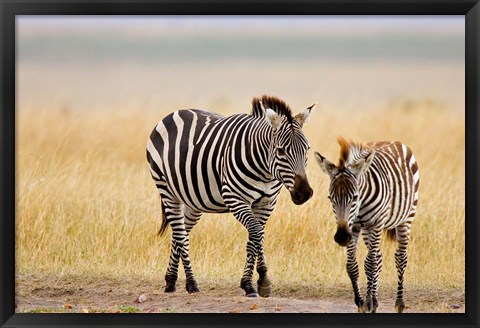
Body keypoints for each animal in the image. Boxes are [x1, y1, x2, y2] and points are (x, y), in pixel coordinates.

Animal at [148, 95, 316, 298]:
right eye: (281, 151)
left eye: (307, 149)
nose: (304, 193)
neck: (265, 172)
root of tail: (174, 113)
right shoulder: (235, 199)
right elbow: (255, 234)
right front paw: (249, 285)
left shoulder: (267, 203)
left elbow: (258, 236)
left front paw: (262, 280)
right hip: (166, 190)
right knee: (180, 234)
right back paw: (191, 283)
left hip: (193, 200)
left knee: (179, 233)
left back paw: (171, 280)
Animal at [314, 138, 418, 312]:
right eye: (330, 198)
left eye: (355, 197)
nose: (342, 237)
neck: (360, 206)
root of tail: (393, 141)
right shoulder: (353, 226)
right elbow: (352, 266)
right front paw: (361, 302)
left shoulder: (376, 223)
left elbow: (370, 264)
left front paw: (368, 302)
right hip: (367, 230)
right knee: (378, 257)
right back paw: (375, 301)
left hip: (405, 218)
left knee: (400, 258)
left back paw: (399, 303)